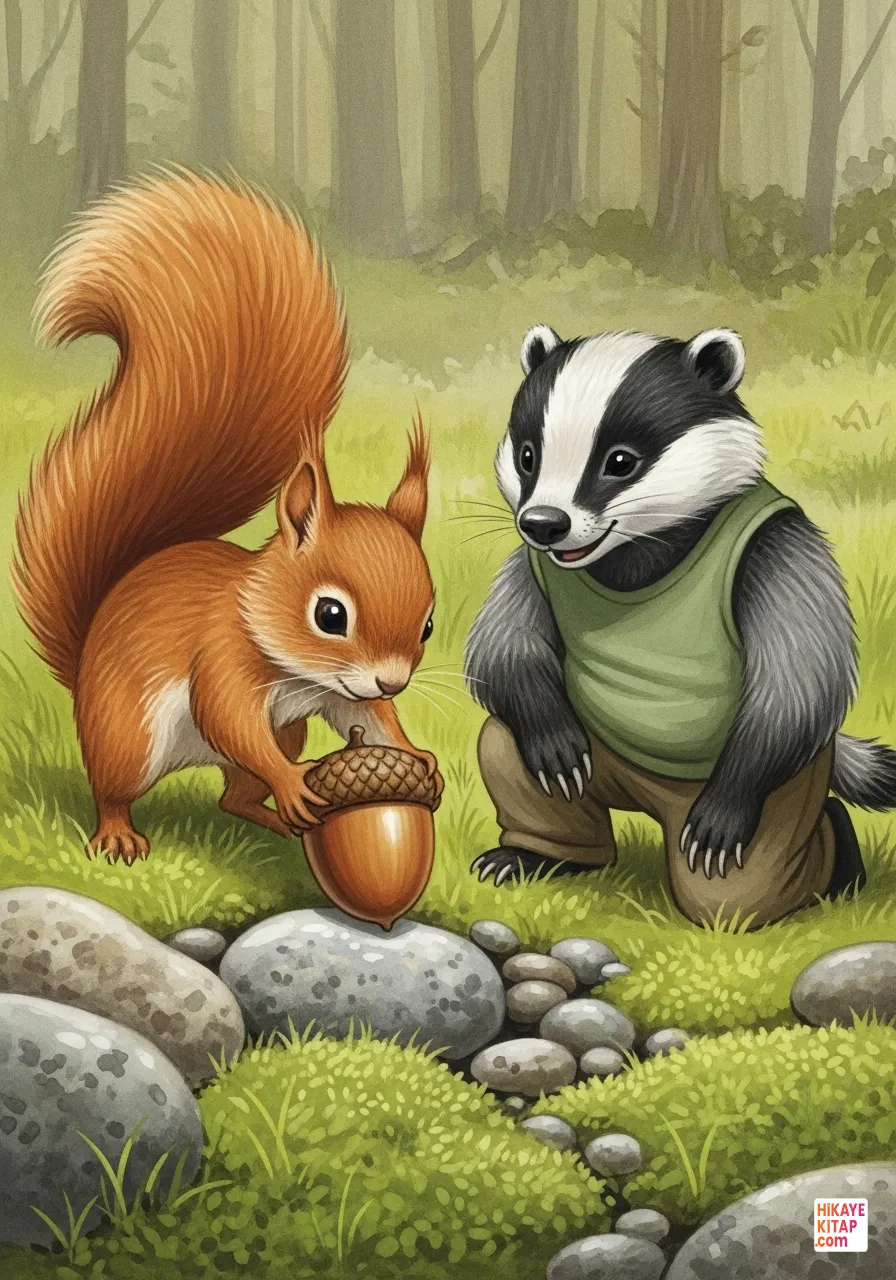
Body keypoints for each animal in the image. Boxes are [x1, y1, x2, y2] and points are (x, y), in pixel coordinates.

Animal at [14, 171, 442, 865]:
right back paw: (122, 833)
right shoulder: (219, 654)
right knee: (116, 789)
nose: (390, 680)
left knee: (231, 798)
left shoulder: (336, 697)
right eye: (330, 615)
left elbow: (368, 723)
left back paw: (276, 822)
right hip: (128, 736)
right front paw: (291, 783)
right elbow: (229, 717)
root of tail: (80, 678)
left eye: (429, 624)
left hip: (288, 731)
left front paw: (413, 753)